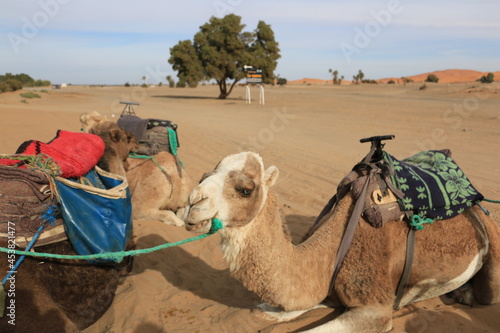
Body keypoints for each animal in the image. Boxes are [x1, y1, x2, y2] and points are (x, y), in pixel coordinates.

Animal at [184, 151, 500, 332]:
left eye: (245, 190)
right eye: (203, 176)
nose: (192, 204)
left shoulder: (376, 308)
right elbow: (273, 310)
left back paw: (465, 295)